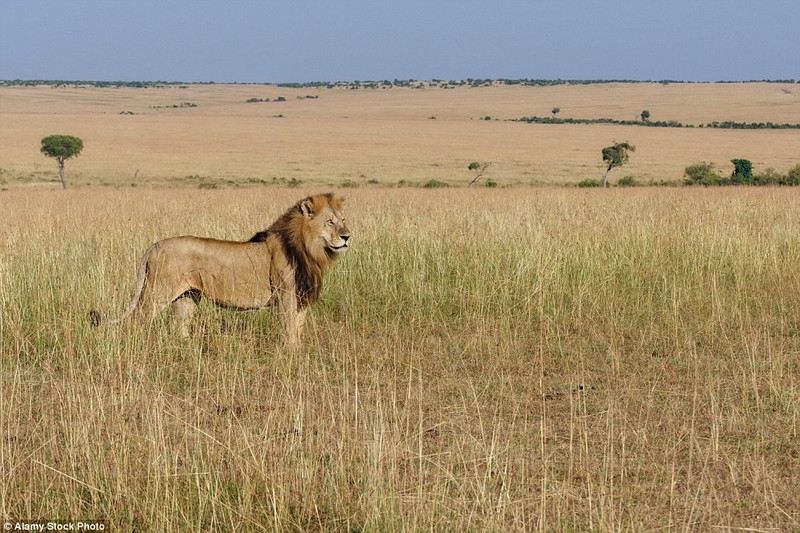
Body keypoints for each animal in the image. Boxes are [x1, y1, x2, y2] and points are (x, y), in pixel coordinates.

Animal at [89, 191, 348, 344]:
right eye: (330, 222)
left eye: (344, 220)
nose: (347, 236)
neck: (311, 249)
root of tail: (155, 245)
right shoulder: (286, 295)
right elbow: (290, 329)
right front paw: (291, 356)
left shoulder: (302, 297)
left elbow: (299, 328)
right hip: (156, 293)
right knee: (137, 321)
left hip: (187, 297)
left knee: (179, 328)